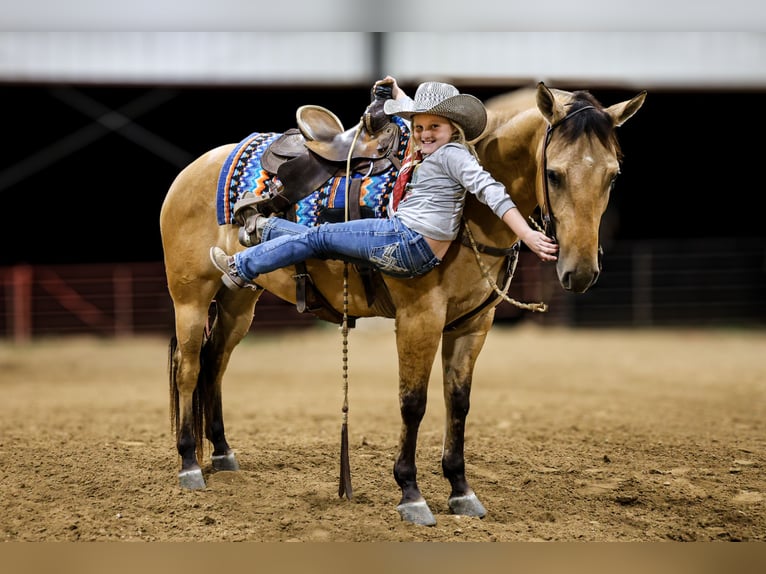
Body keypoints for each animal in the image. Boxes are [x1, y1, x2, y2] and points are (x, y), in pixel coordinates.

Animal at [159, 82, 646, 526]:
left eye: (613, 175)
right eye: (555, 174)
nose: (580, 271)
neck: (470, 211)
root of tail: (194, 169)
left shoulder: (473, 325)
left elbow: (458, 402)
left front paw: (460, 489)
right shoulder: (419, 318)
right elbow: (413, 402)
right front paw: (411, 493)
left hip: (239, 301)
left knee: (214, 364)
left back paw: (222, 454)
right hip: (190, 299)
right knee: (188, 369)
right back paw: (189, 463)